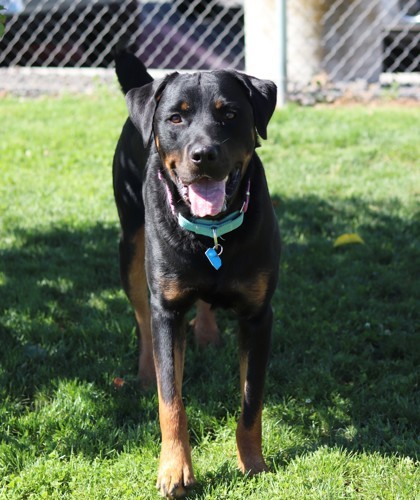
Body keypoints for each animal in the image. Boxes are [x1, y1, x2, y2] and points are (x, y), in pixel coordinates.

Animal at [113, 52, 280, 498]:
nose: (203, 154)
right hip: (131, 246)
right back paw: (145, 370)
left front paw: (252, 463)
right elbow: (171, 401)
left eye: (230, 114)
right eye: (176, 118)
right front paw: (174, 470)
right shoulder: (167, 310)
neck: (213, 231)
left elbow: (251, 399)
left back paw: (206, 332)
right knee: (142, 320)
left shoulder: (259, 316)